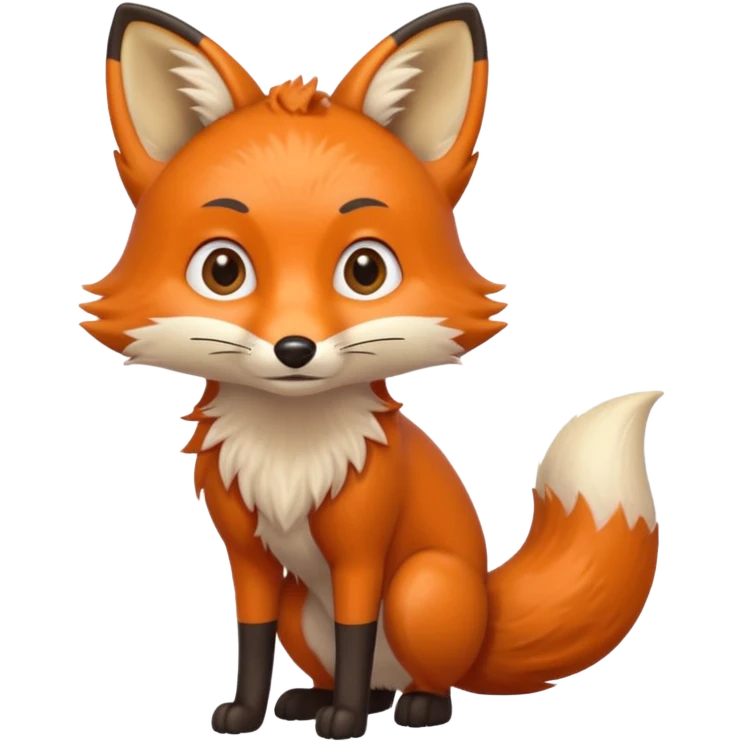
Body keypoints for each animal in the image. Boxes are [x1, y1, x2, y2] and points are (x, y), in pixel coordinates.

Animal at [82, 2, 662, 739]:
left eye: (365, 270)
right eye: (222, 270)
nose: (294, 349)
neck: (290, 450)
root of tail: (488, 616)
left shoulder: (361, 550)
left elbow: (356, 632)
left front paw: (347, 720)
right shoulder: (248, 554)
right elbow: (252, 638)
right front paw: (247, 712)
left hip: (422, 586)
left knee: (423, 675)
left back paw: (413, 705)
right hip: (304, 606)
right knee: (355, 666)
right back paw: (315, 698)